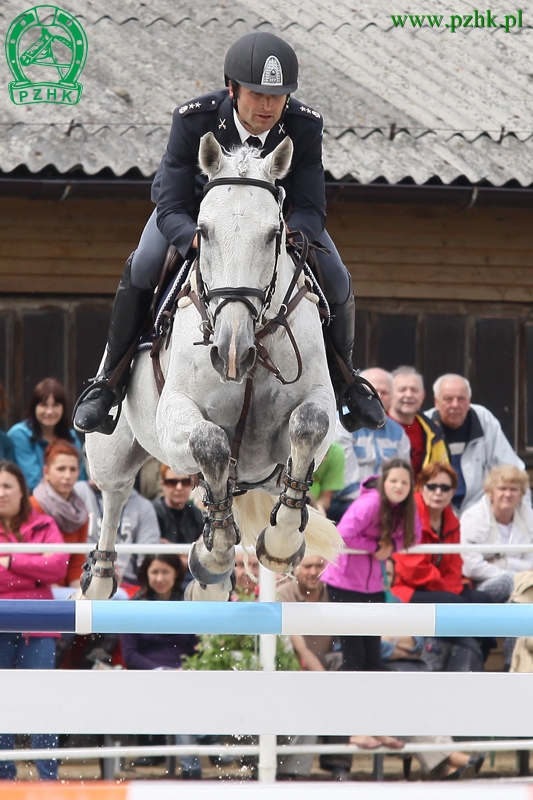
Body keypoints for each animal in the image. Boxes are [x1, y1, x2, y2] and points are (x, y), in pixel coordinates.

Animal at [77, 133, 338, 600]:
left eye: (274, 234)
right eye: (203, 232)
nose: (231, 353)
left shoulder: (312, 409)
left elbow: (308, 427)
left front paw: (281, 544)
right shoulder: (176, 412)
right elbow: (210, 443)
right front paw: (214, 551)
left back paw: (212, 576)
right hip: (112, 450)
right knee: (115, 495)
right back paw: (103, 579)